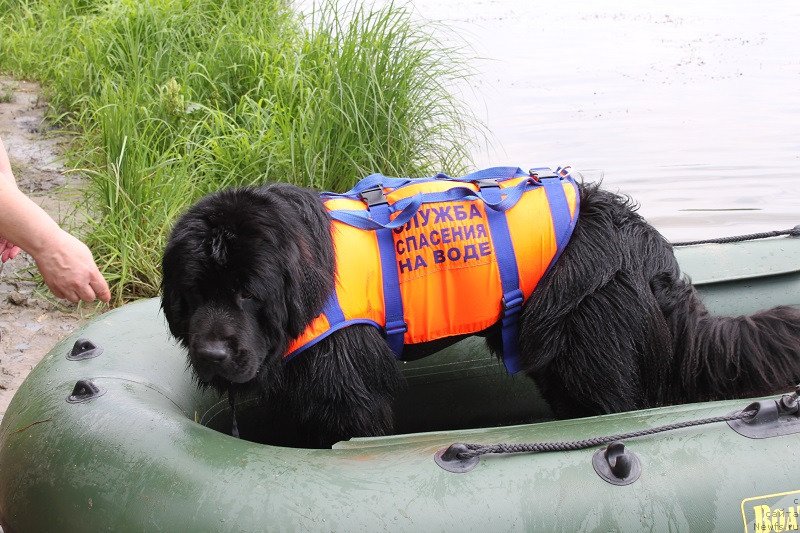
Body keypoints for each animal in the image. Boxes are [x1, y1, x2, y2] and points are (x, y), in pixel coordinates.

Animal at [159, 177, 800, 446]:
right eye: (194, 292)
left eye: (249, 293)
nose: (211, 352)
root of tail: (645, 244)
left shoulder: (348, 390)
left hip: (592, 356)